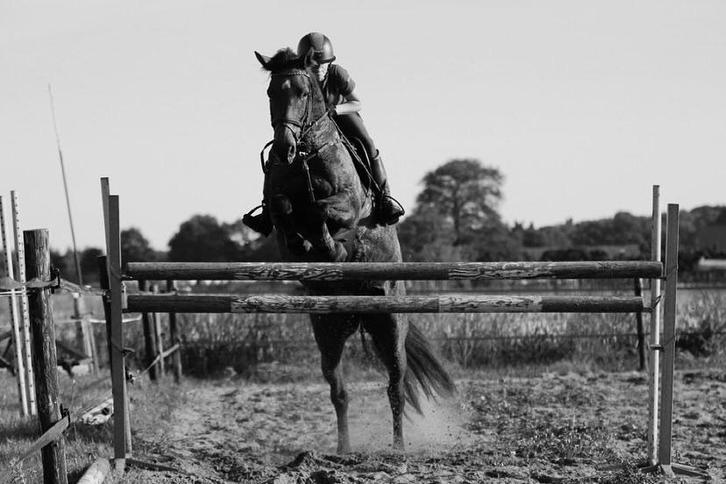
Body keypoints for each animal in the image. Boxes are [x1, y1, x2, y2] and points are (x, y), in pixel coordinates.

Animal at [254, 47, 455, 453]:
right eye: (270, 92)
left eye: (303, 92)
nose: (284, 149)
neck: (307, 156)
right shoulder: (280, 211)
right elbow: (284, 211)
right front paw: (308, 245)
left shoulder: (349, 204)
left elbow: (322, 212)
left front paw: (332, 248)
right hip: (328, 332)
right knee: (339, 392)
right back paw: (343, 448)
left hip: (389, 327)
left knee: (395, 387)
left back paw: (398, 448)